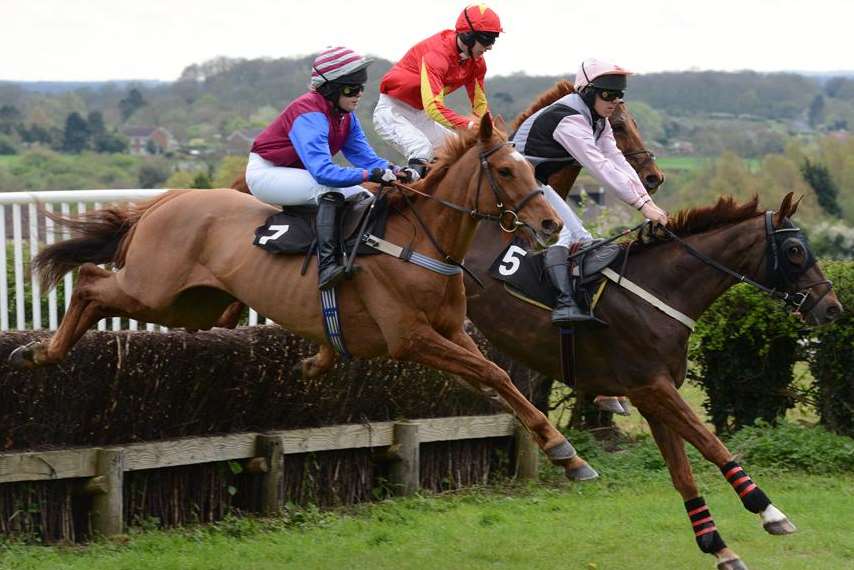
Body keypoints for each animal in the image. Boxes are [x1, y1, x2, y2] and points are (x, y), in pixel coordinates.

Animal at [462, 192, 844, 568]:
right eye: (794, 250)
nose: (832, 307)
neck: (658, 292)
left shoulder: (652, 396)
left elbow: (682, 474)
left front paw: (718, 547)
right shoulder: (652, 387)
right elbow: (712, 444)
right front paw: (769, 511)